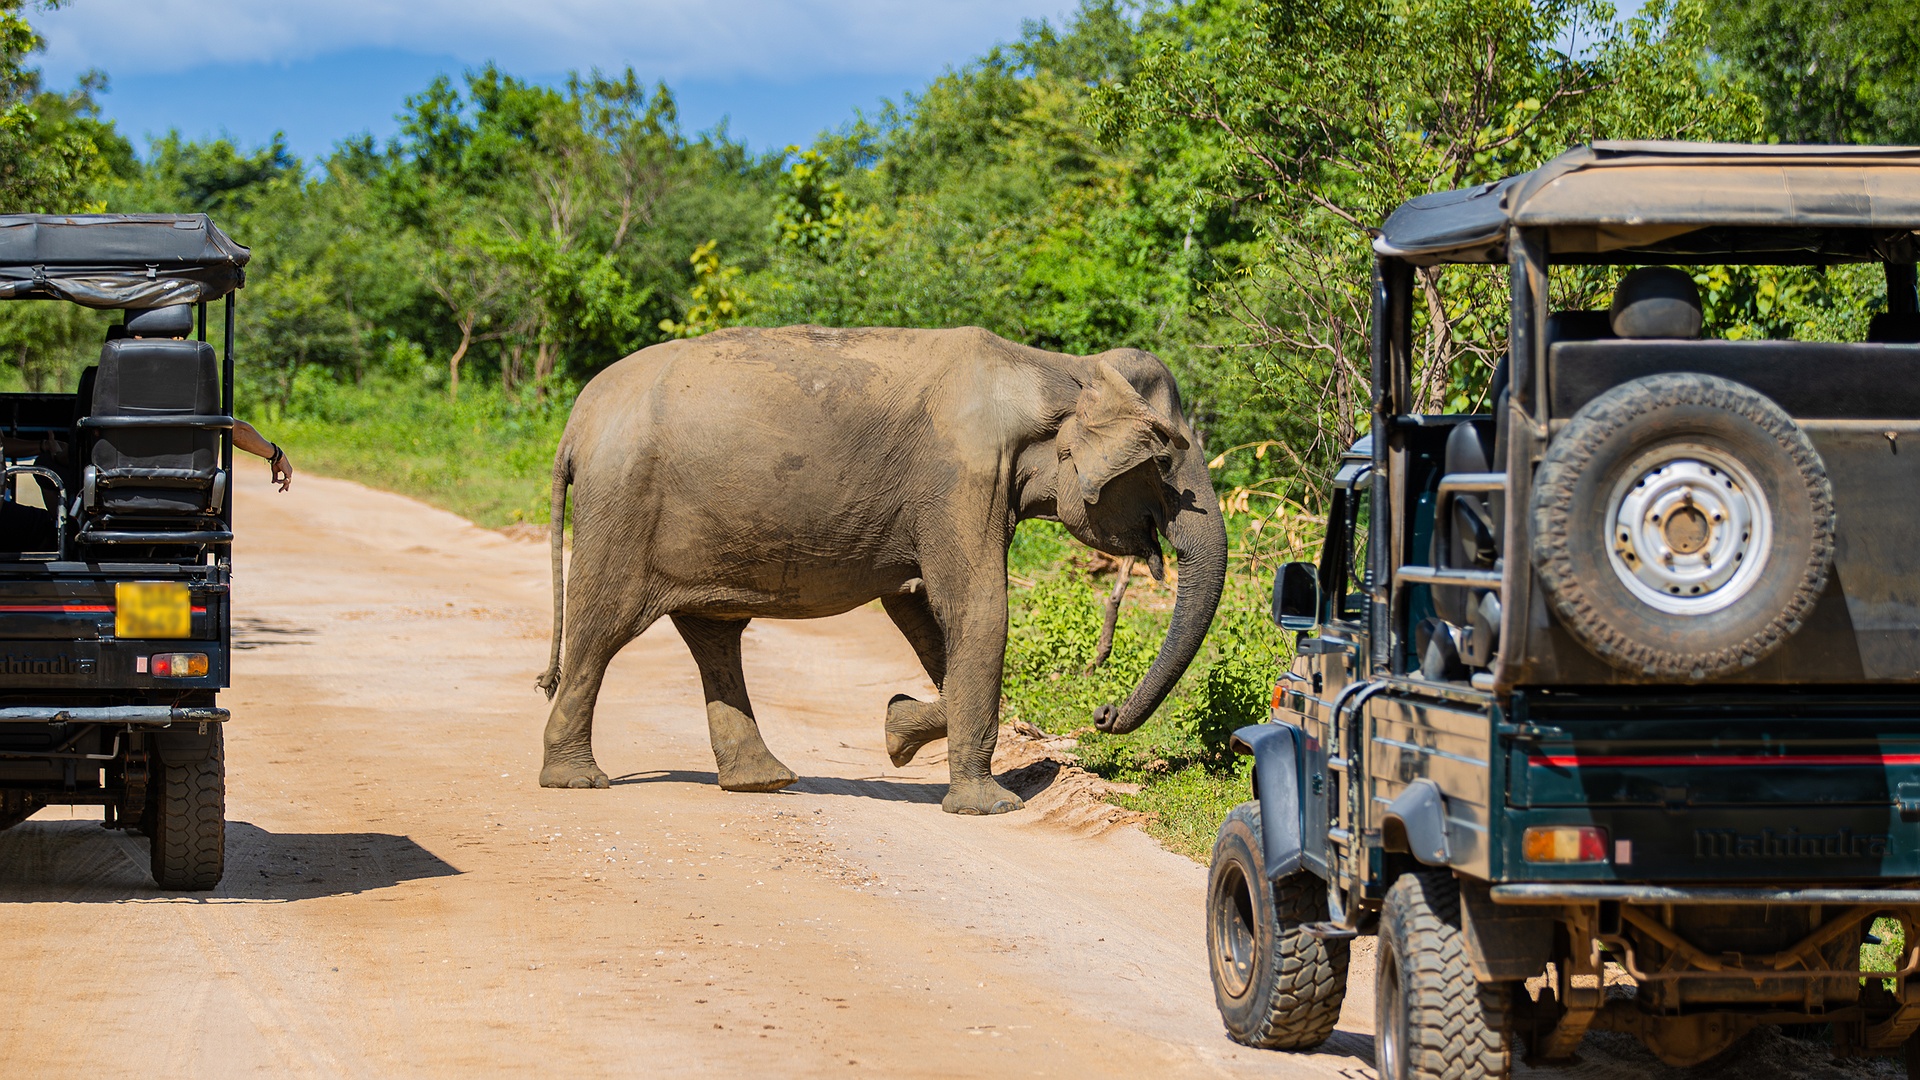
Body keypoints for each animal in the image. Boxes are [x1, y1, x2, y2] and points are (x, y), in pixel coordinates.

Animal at [534, 325, 1227, 815]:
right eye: (1166, 462)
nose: (1103, 715)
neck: (1059, 368)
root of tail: (575, 424)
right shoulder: (962, 476)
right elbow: (977, 608)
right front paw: (990, 807)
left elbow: (920, 608)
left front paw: (897, 729)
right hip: (624, 507)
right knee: (603, 629)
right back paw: (577, 781)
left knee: (714, 636)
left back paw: (764, 781)